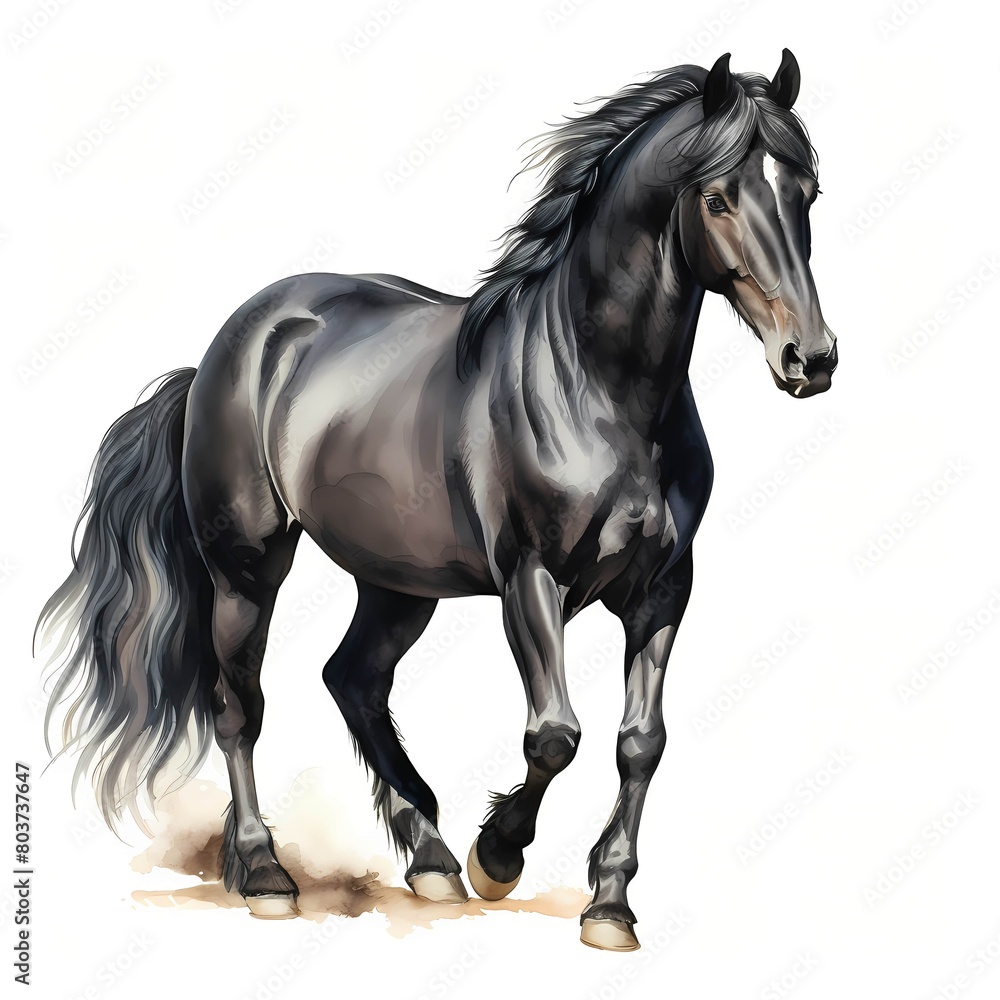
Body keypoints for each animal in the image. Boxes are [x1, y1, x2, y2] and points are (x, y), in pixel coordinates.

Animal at [36, 50, 837, 951]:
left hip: (397, 584)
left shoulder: (662, 591)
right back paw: (269, 874)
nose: (811, 359)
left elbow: (640, 744)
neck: (596, 390)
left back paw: (429, 860)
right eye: (717, 196)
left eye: (807, 189)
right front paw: (501, 855)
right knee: (237, 705)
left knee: (352, 680)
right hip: (246, 569)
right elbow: (555, 735)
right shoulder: (532, 580)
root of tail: (228, 348)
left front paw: (609, 906)